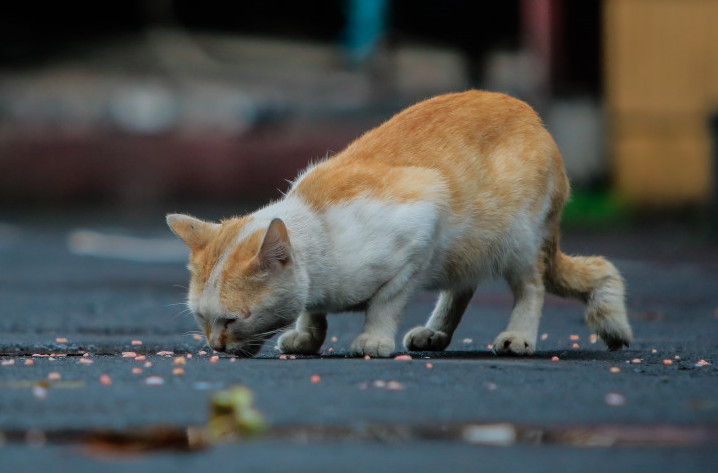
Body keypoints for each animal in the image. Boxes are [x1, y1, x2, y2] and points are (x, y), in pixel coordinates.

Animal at [166, 90, 632, 358]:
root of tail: (533, 117)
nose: (216, 346)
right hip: (470, 251)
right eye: (201, 318)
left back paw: (518, 336)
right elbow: (313, 311)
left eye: (231, 320)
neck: (317, 225)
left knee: (532, 286)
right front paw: (308, 334)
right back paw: (435, 332)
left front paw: (373, 339)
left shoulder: (423, 221)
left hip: (516, 240)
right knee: (462, 288)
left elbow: (386, 302)